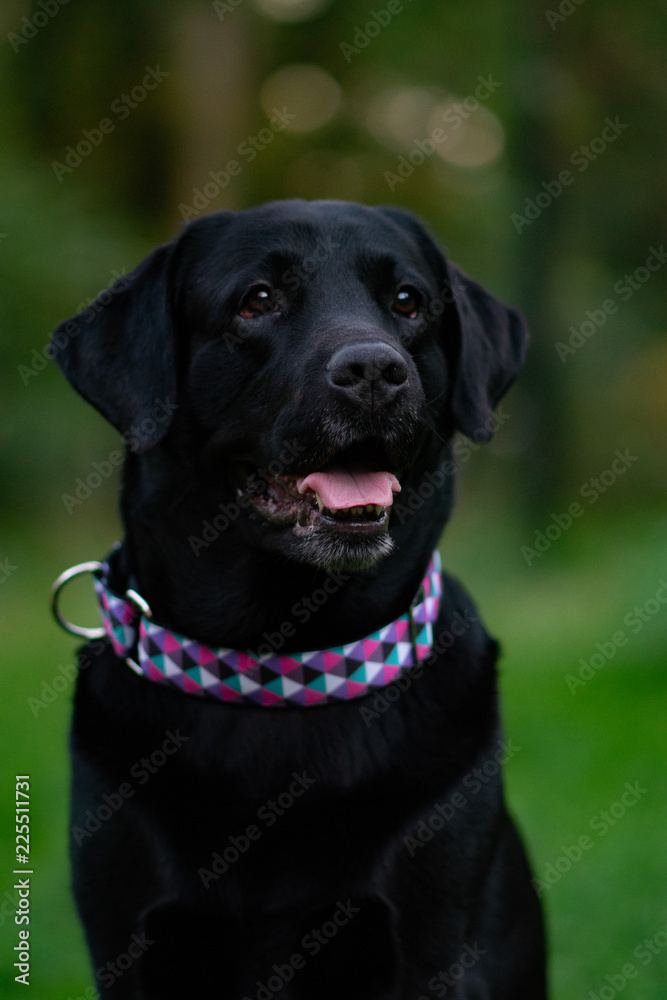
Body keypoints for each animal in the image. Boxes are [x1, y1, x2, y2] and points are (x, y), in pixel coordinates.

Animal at [53, 199, 548, 996]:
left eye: (407, 301)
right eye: (258, 300)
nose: (375, 370)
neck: (287, 666)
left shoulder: (433, 934)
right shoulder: (128, 933)